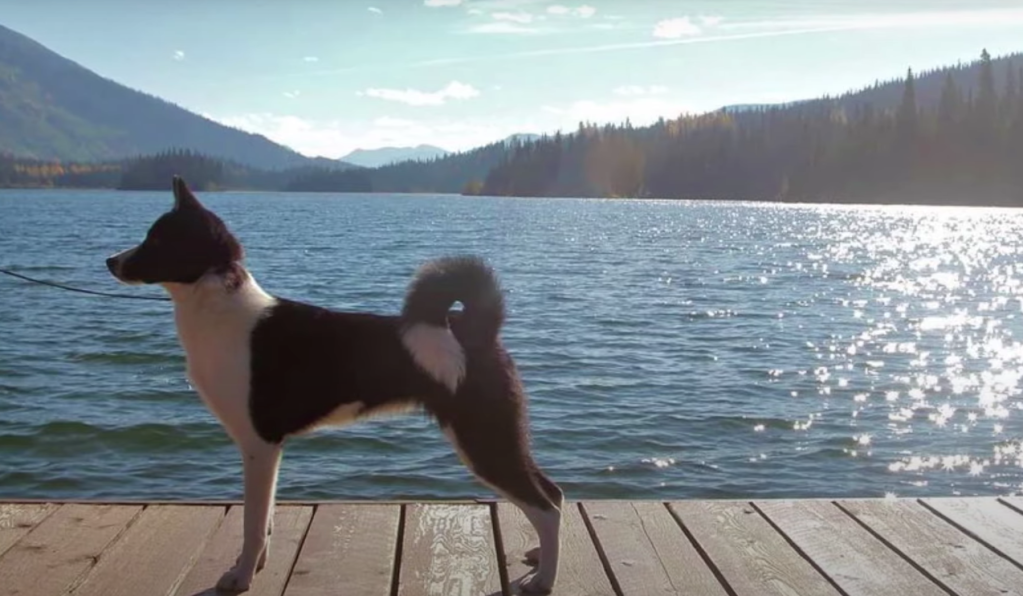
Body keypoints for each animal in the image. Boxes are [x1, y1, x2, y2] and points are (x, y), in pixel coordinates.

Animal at [107, 175, 564, 592]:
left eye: (157, 240)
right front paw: (254, 566)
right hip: (497, 436)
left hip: (483, 440)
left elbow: (253, 522)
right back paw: (539, 556)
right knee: (552, 494)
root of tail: (474, 329)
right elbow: (265, 520)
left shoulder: (258, 444)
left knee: (547, 507)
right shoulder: (267, 451)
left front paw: (240, 577)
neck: (219, 309)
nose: (110, 260)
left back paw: (543, 579)